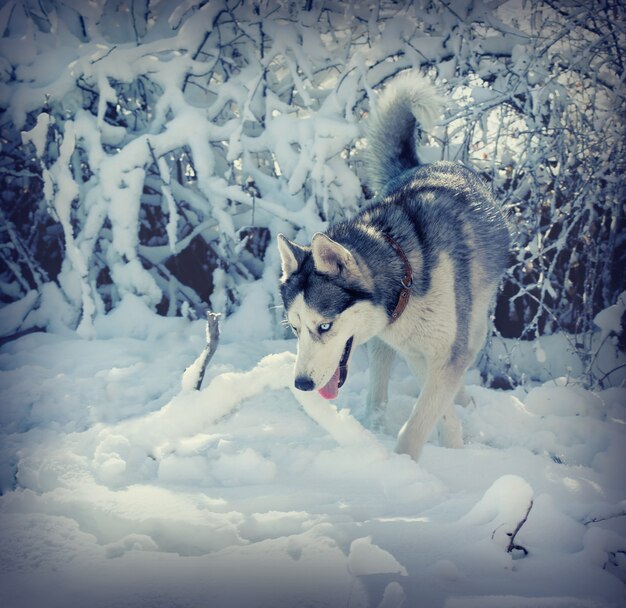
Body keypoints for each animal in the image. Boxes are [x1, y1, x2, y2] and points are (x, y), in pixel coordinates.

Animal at [276, 73, 508, 458]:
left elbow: (419, 422)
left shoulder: (441, 349)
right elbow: (436, 411)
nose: (302, 384)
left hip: (474, 323)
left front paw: (408, 464)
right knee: (382, 378)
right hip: (389, 346)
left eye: (324, 326)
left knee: (465, 354)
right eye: (295, 328)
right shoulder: (416, 350)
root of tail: (423, 164)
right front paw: (449, 444)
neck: (405, 274)